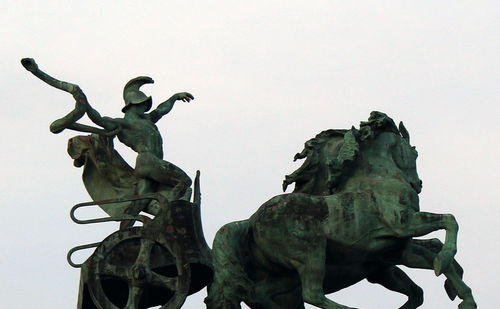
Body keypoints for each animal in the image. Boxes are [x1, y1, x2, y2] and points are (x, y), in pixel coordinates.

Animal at [204, 111, 476, 308]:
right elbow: (449, 221)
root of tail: (251, 221)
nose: (417, 184)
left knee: (260, 293)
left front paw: (462, 294)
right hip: (311, 254)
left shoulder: (399, 250)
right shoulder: (404, 223)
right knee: (311, 294)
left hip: (285, 273)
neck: (377, 178)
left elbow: (432, 260)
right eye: (414, 153)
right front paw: (447, 261)